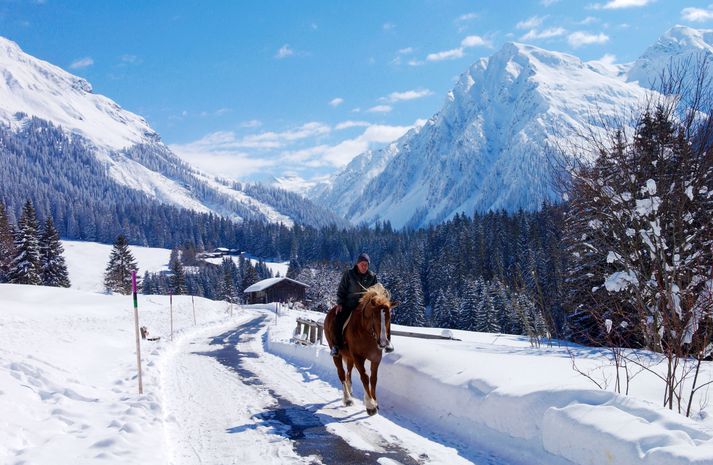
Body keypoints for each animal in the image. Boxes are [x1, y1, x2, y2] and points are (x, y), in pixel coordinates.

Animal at [322, 280, 394, 416]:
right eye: (374, 316)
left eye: (389, 318)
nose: (383, 343)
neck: (366, 331)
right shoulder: (358, 357)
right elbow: (364, 377)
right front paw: (370, 405)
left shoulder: (376, 358)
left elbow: (373, 379)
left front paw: (374, 401)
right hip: (337, 354)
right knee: (341, 373)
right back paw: (347, 398)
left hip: (349, 357)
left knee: (348, 373)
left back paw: (350, 392)